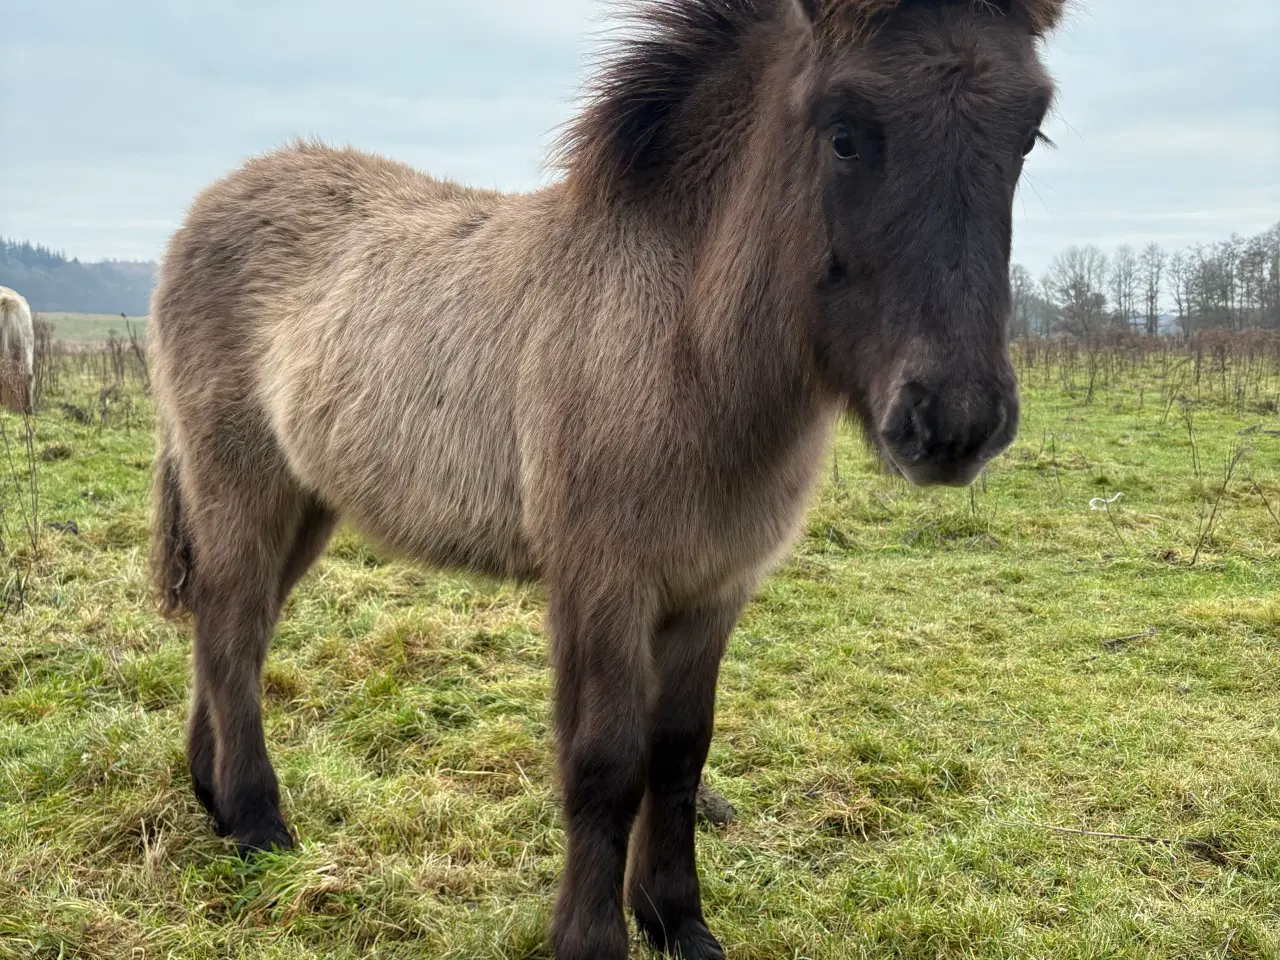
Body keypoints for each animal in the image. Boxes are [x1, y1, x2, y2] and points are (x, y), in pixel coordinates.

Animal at [149, 3, 1064, 957]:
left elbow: (680, 752)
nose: (955, 421)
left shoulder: (712, 589)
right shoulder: (603, 583)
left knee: (236, 630)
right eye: (845, 133)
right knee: (231, 630)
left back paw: (213, 797)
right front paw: (592, 937)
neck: (681, 342)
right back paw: (258, 824)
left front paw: (676, 919)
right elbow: (604, 763)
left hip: (306, 503)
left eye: (1027, 133)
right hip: (240, 487)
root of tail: (206, 207)